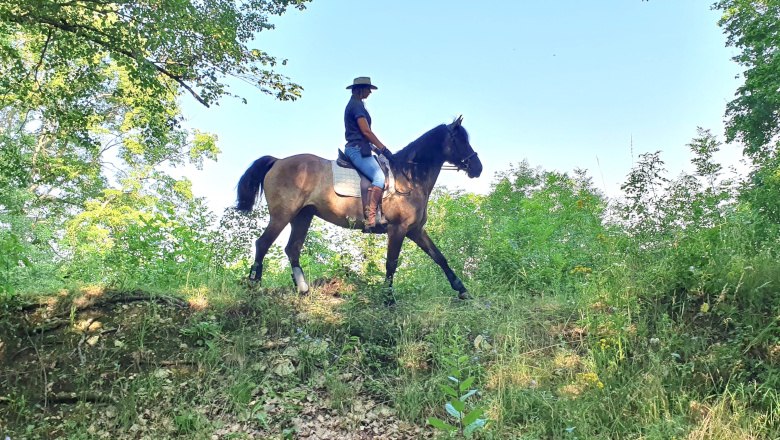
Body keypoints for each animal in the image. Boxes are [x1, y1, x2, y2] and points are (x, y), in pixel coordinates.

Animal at [235, 116, 484, 302]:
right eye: (460, 140)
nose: (477, 168)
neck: (409, 177)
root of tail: (277, 161)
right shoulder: (398, 229)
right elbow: (391, 263)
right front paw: (388, 298)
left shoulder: (415, 230)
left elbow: (440, 258)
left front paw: (463, 290)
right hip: (282, 215)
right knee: (263, 243)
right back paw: (254, 284)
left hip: (303, 216)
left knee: (292, 249)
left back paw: (303, 289)